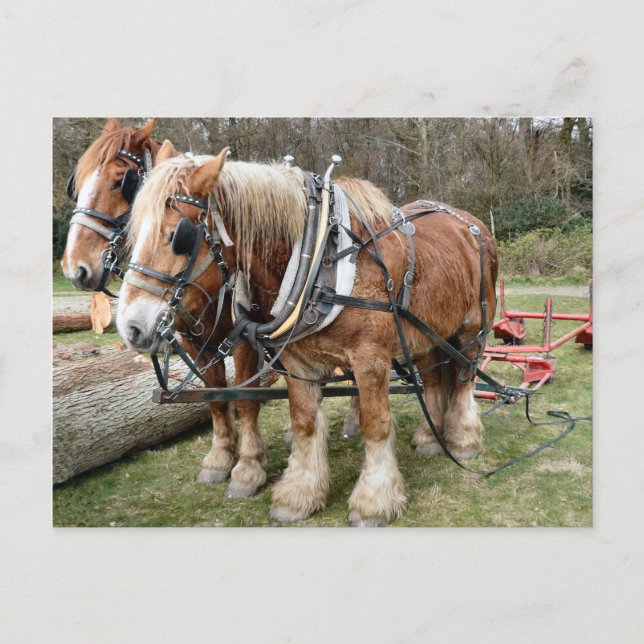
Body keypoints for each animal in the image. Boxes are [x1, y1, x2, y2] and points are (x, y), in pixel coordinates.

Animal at [59, 122, 265, 497]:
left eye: (120, 180)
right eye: (76, 185)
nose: (73, 269)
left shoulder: (243, 342)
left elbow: (245, 398)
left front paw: (248, 468)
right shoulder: (194, 343)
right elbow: (215, 397)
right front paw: (219, 459)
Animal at [117, 149, 498, 525]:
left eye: (177, 236)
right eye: (133, 233)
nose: (131, 327)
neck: (320, 258)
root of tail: (473, 225)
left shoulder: (370, 359)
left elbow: (375, 425)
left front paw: (373, 501)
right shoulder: (297, 362)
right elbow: (303, 423)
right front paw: (299, 494)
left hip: (472, 328)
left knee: (463, 379)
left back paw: (463, 440)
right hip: (428, 334)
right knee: (432, 379)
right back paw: (429, 437)